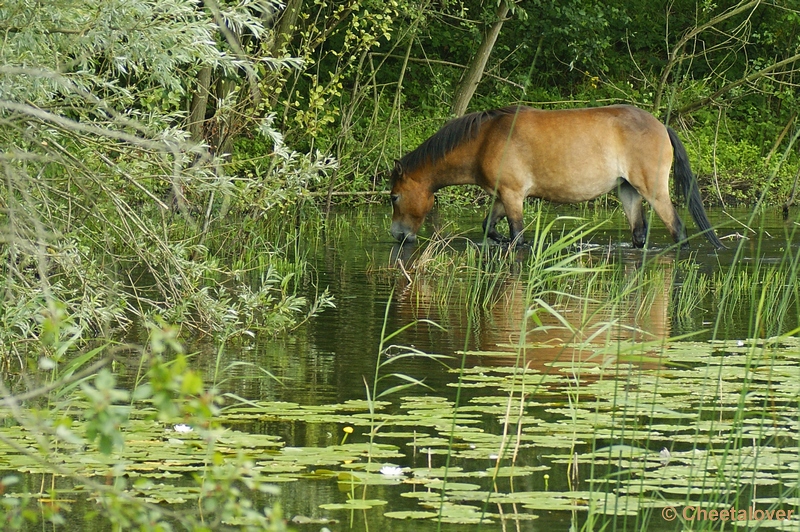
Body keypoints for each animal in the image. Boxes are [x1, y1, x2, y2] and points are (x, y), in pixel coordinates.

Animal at [388, 106, 724, 251]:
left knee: (678, 230)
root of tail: (660, 125)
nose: (398, 235)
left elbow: (517, 236)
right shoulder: (503, 195)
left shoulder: (512, 195)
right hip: (628, 192)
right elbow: (488, 227)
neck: (485, 138)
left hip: (653, 190)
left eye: (394, 196)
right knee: (639, 235)